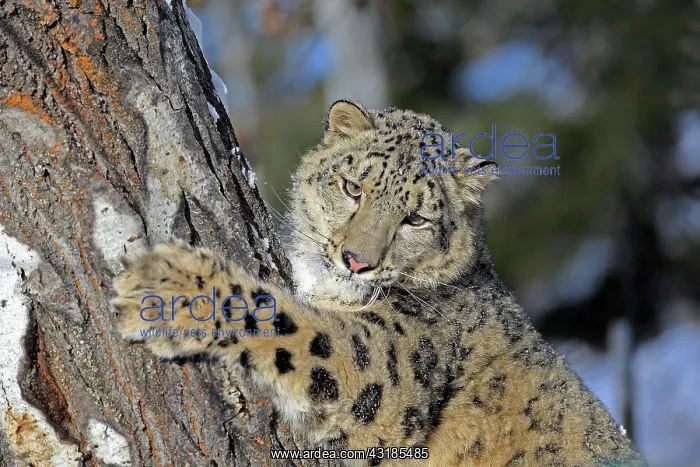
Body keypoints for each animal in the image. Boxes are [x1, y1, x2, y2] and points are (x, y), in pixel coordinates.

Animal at [111, 100, 646, 466]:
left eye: (415, 219)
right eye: (353, 187)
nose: (356, 261)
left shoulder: (384, 371)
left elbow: (299, 330)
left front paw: (169, 288)